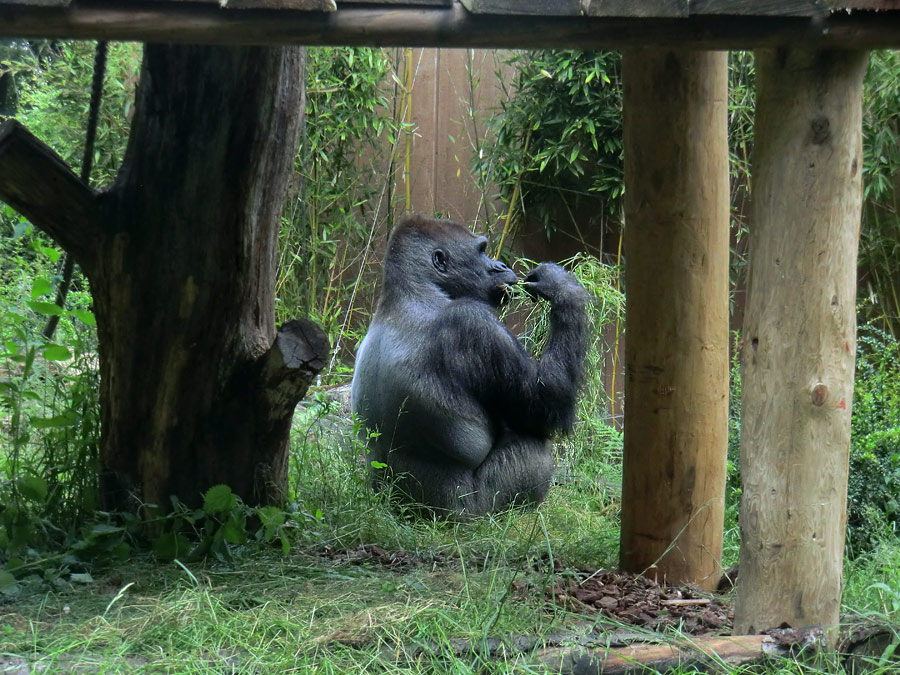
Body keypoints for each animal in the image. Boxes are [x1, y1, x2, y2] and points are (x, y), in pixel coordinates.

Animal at [352, 217, 592, 516]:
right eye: (481, 251)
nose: (500, 265)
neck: (412, 293)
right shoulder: (473, 322)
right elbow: (548, 406)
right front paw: (563, 288)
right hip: (473, 515)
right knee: (534, 449)